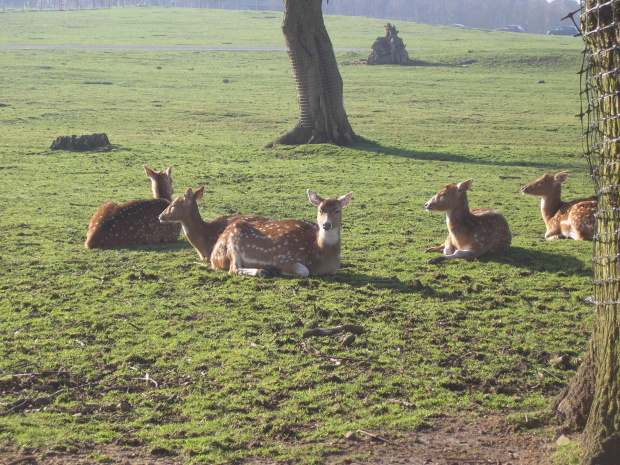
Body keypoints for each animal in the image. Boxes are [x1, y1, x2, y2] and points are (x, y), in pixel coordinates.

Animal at [208, 188, 354, 276]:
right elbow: (304, 270)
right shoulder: (283, 257)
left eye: (337, 210)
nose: (326, 224)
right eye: (320, 209)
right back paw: (263, 271)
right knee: (233, 269)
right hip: (232, 242)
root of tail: (213, 257)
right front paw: (277, 270)